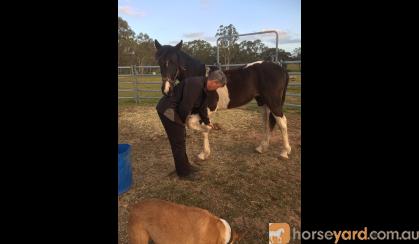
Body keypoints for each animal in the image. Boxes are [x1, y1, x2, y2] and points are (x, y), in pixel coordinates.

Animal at [154, 40, 292, 160]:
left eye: (173, 61)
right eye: (160, 62)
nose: (166, 89)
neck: (200, 78)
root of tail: (281, 69)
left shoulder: (209, 108)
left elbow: (199, 127)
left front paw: (204, 151)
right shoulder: (198, 110)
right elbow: (193, 124)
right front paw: (205, 151)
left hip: (273, 102)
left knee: (282, 122)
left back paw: (285, 152)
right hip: (264, 103)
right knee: (268, 122)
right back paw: (262, 147)